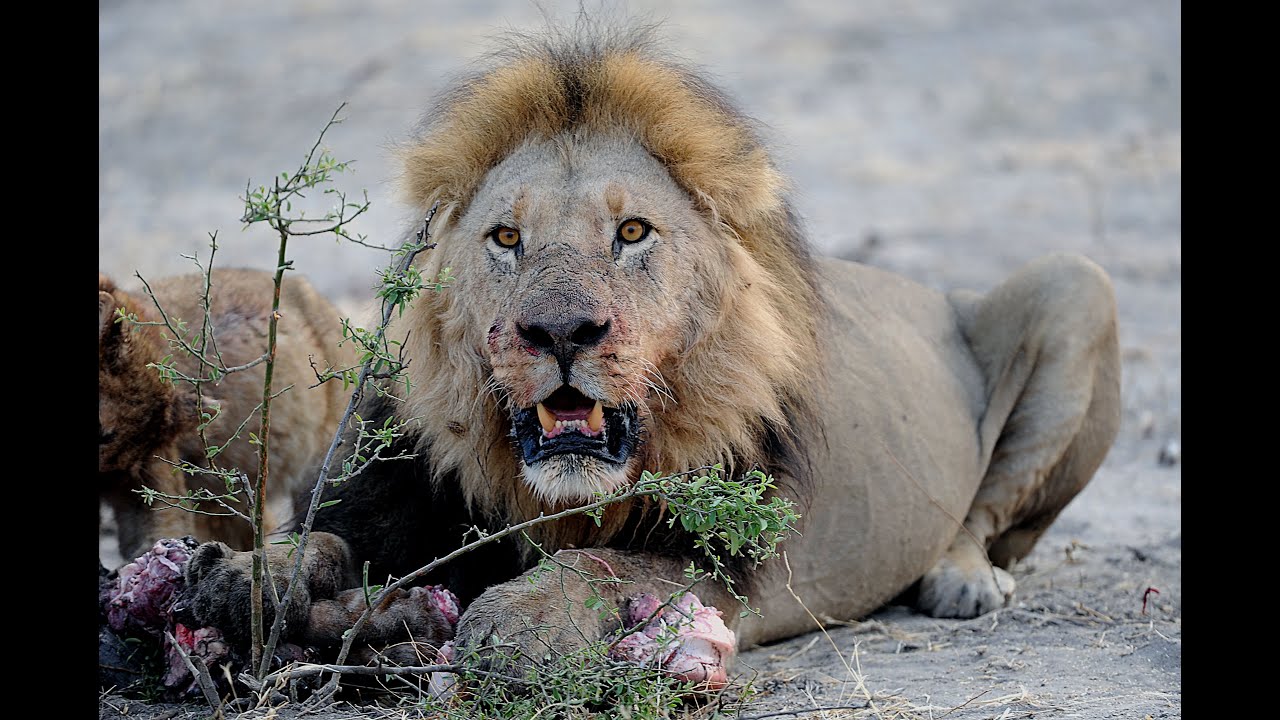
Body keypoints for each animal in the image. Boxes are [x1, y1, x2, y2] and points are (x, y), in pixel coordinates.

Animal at [178, 27, 1120, 679]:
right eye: (506, 238)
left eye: (632, 233)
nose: (561, 332)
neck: (544, 494)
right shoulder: (389, 503)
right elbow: (324, 539)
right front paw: (247, 576)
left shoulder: (722, 565)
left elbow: (600, 559)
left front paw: (521, 619)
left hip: (1077, 282)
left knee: (989, 515)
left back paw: (963, 579)